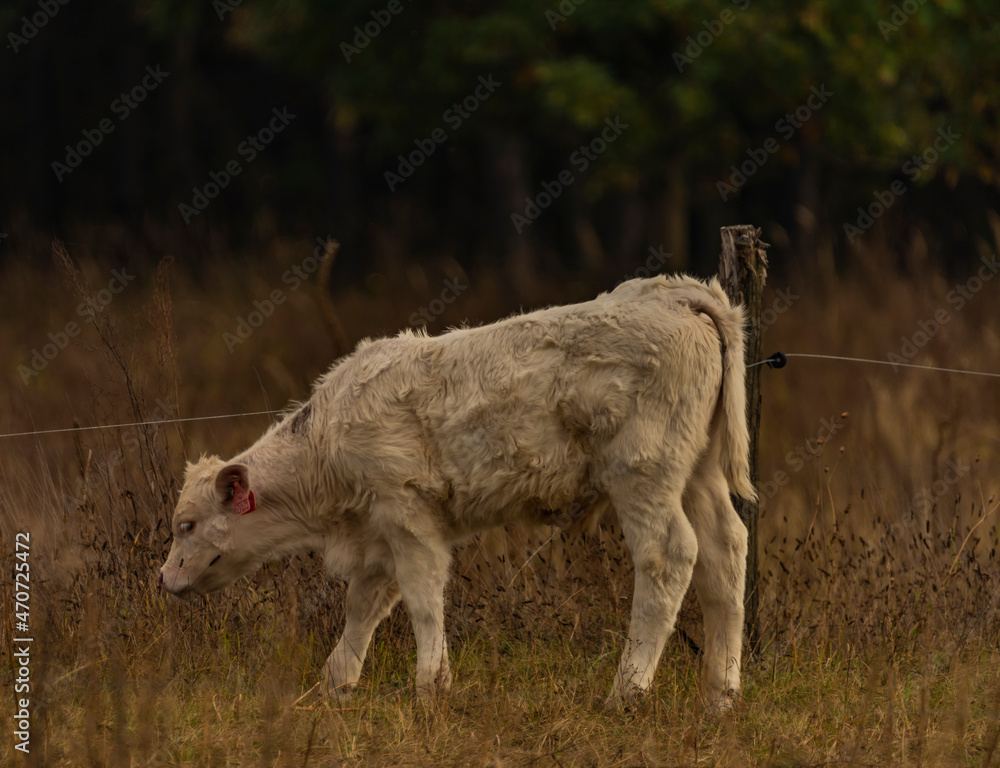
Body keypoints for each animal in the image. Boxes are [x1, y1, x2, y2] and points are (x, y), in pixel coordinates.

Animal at [159, 274, 754, 710]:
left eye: (187, 524)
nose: (164, 579)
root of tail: (671, 293)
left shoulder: (407, 513)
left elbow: (423, 598)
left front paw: (430, 687)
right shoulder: (377, 534)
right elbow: (365, 607)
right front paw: (336, 684)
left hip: (643, 472)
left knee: (668, 557)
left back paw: (626, 692)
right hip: (699, 473)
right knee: (726, 552)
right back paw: (719, 696)